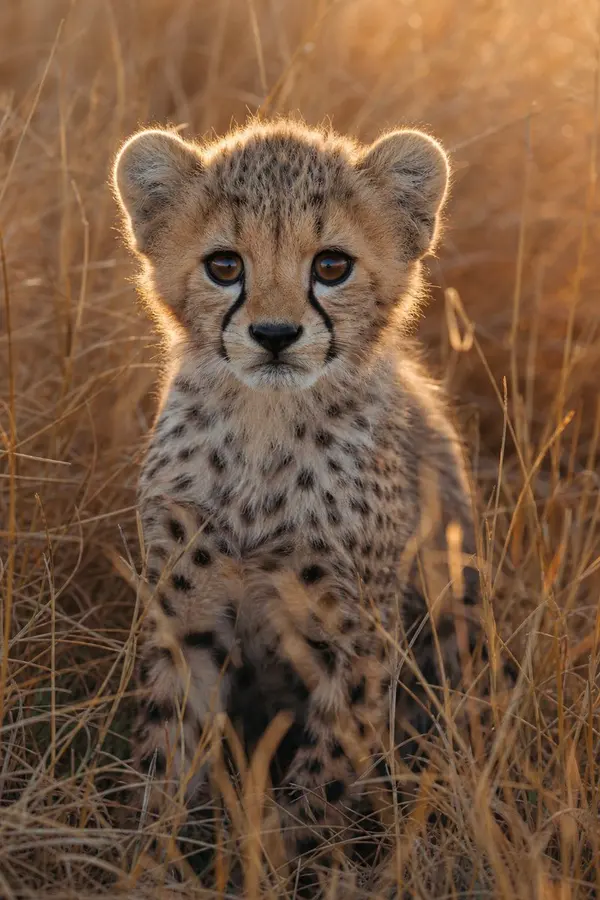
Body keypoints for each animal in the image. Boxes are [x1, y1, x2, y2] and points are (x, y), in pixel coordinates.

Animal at [112, 118, 503, 889]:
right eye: (224, 266)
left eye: (331, 266)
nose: (274, 335)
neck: (264, 431)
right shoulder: (186, 611)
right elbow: (168, 744)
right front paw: (150, 859)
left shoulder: (359, 639)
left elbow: (322, 780)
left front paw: (282, 867)